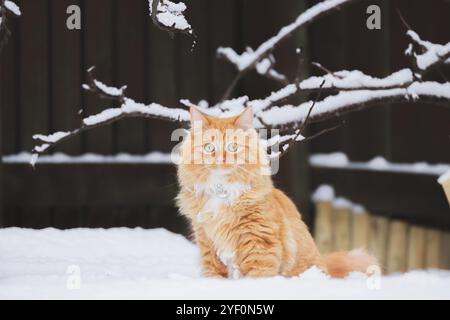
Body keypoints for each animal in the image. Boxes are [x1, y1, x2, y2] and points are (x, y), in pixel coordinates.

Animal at [176, 105, 376, 278]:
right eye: (209, 148)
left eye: (233, 147)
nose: (220, 160)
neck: (221, 191)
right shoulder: (208, 246)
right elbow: (214, 275)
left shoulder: (259, 243)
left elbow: (257, 277)